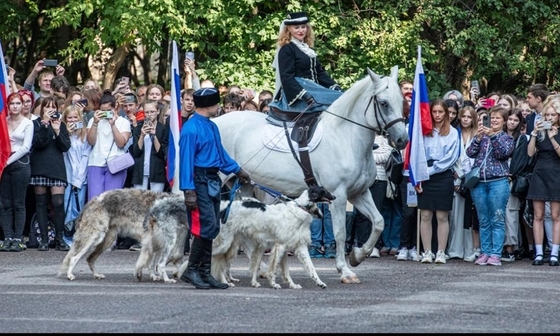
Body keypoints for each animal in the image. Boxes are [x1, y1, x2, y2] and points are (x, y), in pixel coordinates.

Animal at [58, 189, 186, 280]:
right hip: (95, 237)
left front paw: (153, 276)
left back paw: (97, 274)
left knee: (90, 258)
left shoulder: (153, 241)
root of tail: (92, 201)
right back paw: (70, 274)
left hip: (108, 239)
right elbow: (151, 262)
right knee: (74, 257)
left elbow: (150, 262)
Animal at [213, 68, 406, 284]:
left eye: (401, 101)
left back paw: (261, 268)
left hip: (244, 184)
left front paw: (357, 256)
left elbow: (379, 222)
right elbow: (340, 233)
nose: (402, 139)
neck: (345, 137)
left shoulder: (359, 193)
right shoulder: (339, 195)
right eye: (384, 103)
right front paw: (344, 270)